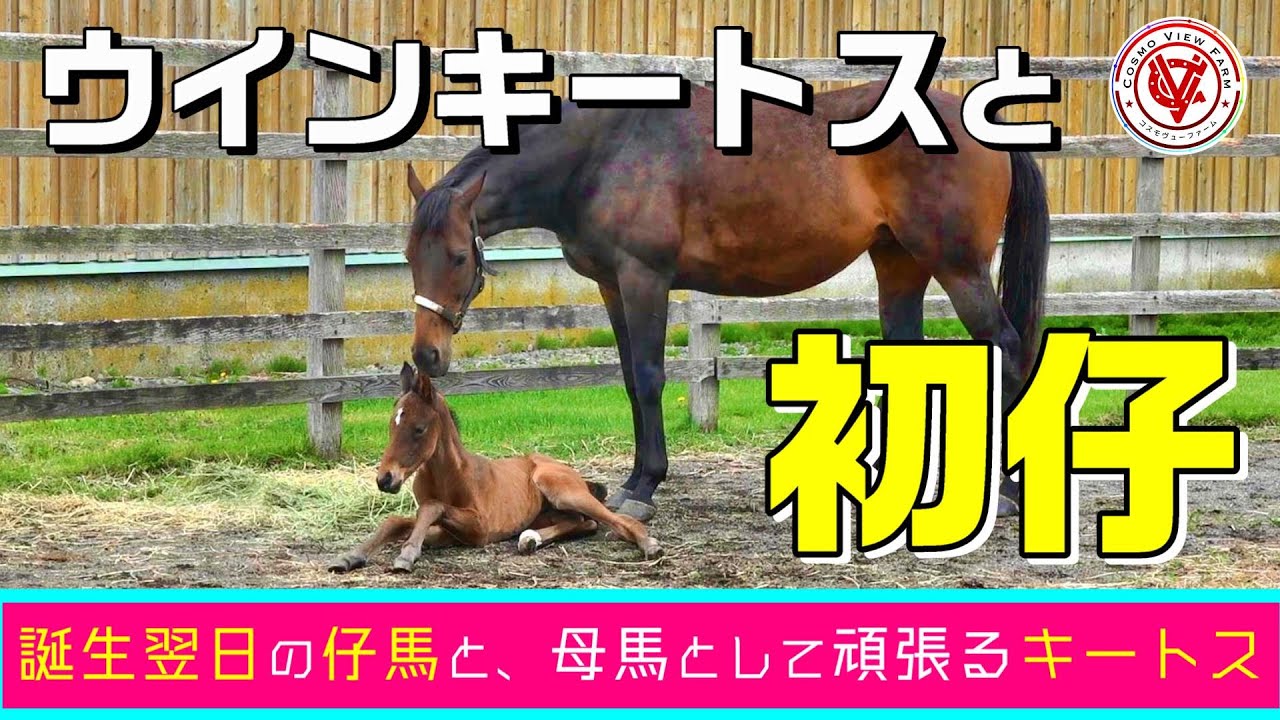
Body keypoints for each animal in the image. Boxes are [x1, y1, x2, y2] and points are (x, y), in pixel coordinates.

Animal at [328, 362, 662, 573]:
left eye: (419, 429)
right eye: (391, 425)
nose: (385, 479)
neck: (448, 476)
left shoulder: (479, 528)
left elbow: (432, 507)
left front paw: (406, 556)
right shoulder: (447, 532)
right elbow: (396, 522)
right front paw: (350, 556)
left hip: (562, 490)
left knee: (615, 520)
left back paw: (650, 545)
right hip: (550, 511)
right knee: (583, 523)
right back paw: (530, 539)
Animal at [401, 79, 1050, 524]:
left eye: (457, 256)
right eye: (408, 254)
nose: (426, 357)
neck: (603, 152)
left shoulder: (643, 278)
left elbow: (649, 376)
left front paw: (645, 486)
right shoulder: (612, 284)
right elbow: (631, 381)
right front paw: (635, 478)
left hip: (958, 268)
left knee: (1010, 349)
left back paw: (1011, 491)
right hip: (900, 265)